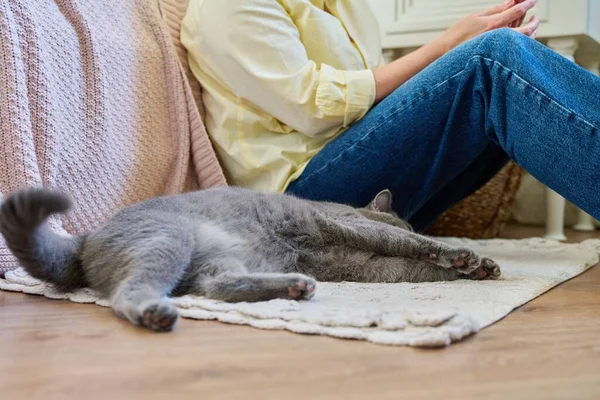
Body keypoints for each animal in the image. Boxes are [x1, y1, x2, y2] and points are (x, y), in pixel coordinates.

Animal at [0, 188, 500, 332]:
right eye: (404, 220)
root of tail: (85, 240)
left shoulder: (361, 266)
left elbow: (409, 268)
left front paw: (482, 269)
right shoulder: (342, 226)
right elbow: (409, 248)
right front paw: (461, 255)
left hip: (217, 260)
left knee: (215, 287)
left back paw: (295, 286)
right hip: (167, 237)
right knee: (128, 294)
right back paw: (155, 313)